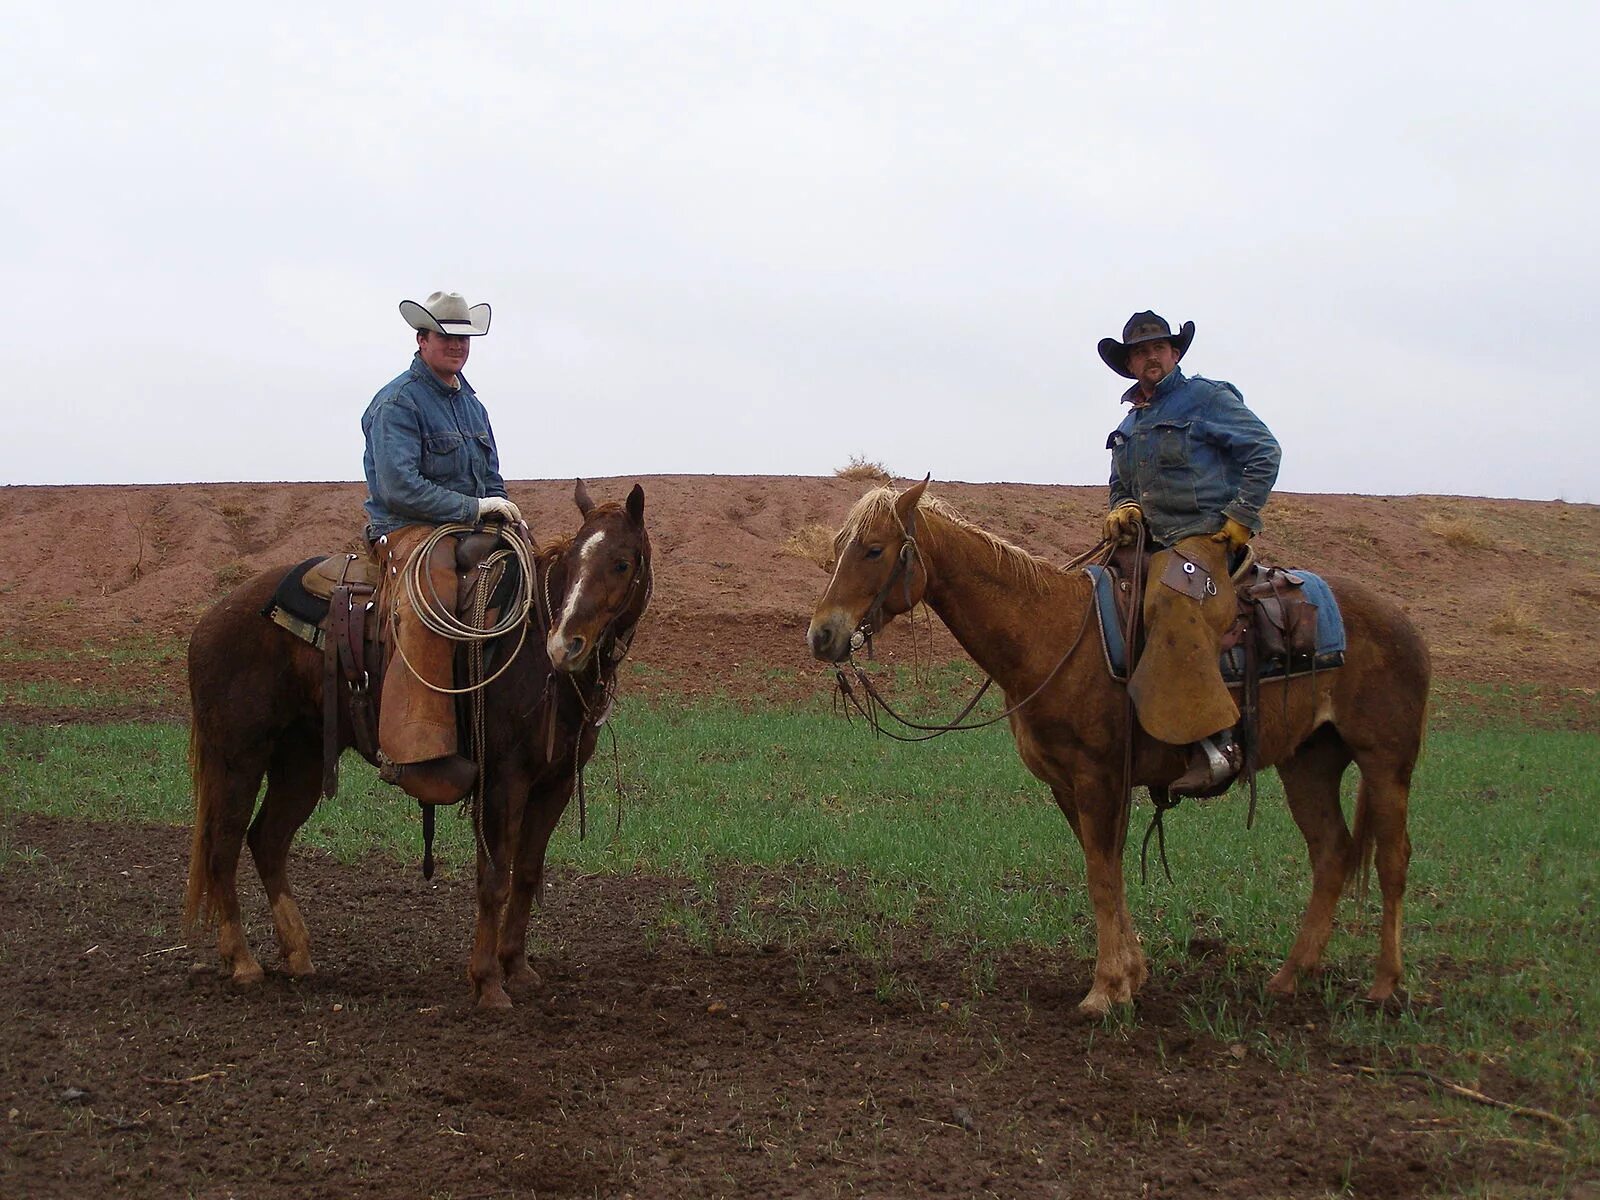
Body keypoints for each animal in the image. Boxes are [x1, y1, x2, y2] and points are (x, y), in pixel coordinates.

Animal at [178, 483, 646, 1011]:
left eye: (622, 563)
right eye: (572, 561)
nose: (565, 645)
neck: (530, 650)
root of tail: (211, 620)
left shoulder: (557, 782)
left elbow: (526, 873)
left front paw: (518, 969)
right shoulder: (502, 779)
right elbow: (493, 879)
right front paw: (488, 983)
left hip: (300, 760)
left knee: (267, 840)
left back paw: (297, 954)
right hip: (238, 758)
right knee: (223, 846)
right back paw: (242, 962)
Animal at [806, 480, 1433, 1017]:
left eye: (874, 549)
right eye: (840, 548)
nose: (822, 635)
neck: (1054, 634)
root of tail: (1402, 620)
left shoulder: (1098, 777)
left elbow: (1102, 874)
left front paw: (1105, 990)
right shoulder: (1066, 783)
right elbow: (1104, 866)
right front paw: (1131, 975)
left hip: (1386, 761)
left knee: (1392, 858)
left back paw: (1385, 986)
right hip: (1310, 761)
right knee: (1331, 853)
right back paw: (1289, 978)